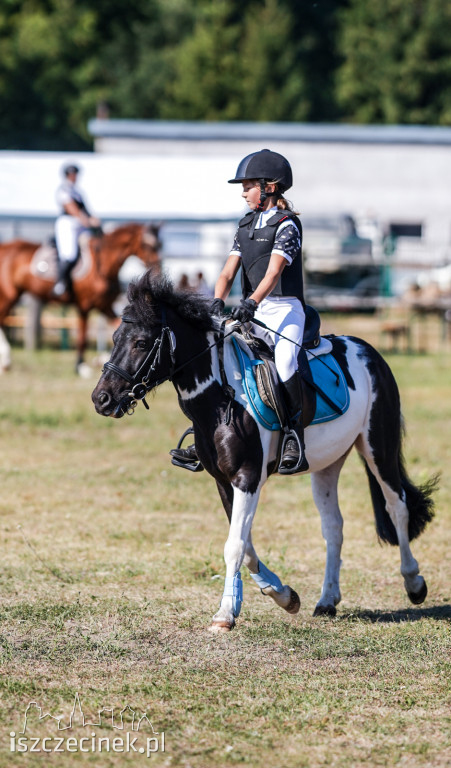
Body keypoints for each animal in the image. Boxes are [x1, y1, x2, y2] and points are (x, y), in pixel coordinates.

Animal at [0, 222, 161, 372]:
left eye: (159, 245)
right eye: (147, 245)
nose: (157, 268)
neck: (103, 264)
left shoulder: (104, 306)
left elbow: (119, 328)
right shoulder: (85, 306)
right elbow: (82, 338)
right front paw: (80, 366)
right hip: (8, 295)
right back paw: (6, 361)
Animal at [92, 272, 438, 632]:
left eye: (141, 343)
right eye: (115, 337)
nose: (101, 399)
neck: (220, 399)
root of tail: (368, 349)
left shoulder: (247, 476)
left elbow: (235, 545)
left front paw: (226, 613)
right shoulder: (222, 480)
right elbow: (244, 546)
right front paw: (284, 595)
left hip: (378, 448)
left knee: (397, 506)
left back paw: (414, 584)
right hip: (327, 464)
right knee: (333, 526)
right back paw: (327, 600)